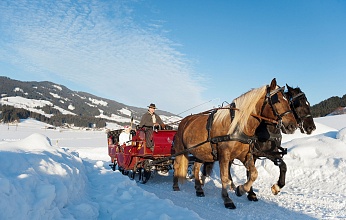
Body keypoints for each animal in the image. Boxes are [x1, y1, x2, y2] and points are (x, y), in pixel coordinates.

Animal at [173, 78, 298, 209]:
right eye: (277, 100)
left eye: (288, 101)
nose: (293, 126)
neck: (238, 127)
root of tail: (185, 120)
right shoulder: (224, 155)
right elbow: (224, 177)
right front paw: (227, 199)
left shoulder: (245, 155)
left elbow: (254, 174)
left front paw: (241, 189)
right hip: (180, 149)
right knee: (177, 165)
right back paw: (175, 185)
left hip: (201, 152)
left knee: (196, 167)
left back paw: (199, 189)